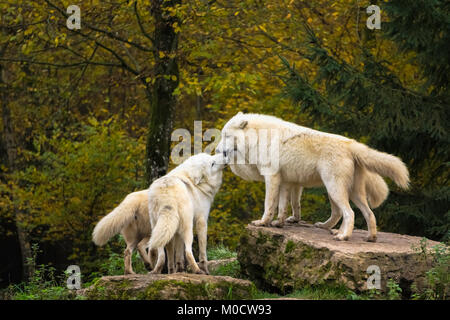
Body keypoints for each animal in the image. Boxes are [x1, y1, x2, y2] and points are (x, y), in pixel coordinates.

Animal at [216, 112, 410, 240]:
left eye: (226, 135)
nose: (217, 150)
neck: (259, 138)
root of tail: (352, 144)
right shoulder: (287, 182)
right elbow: (287, 206)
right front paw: (280, 223)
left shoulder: (272, 177)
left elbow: (269, 205)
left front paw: (262, 223)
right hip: (347, 192)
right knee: (363, 213)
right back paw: (365, 236)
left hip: (334, 188)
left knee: (349, 213)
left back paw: (342, 236)